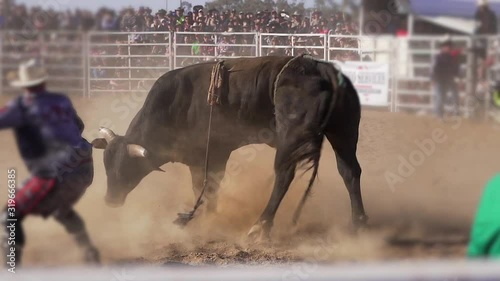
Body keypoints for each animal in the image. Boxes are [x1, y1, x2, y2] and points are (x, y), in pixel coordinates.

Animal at [92, 55, 370, 238]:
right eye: (106, 166)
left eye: (126, 169)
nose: (110, 200)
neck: (176, 105)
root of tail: (325, 72)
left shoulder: (211, 155)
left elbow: (207, 188)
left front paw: (207, 219)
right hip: (343, 132)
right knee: (350, 171)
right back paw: (358, 223)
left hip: (292, 136)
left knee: (284, 174)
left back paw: (261, 225)